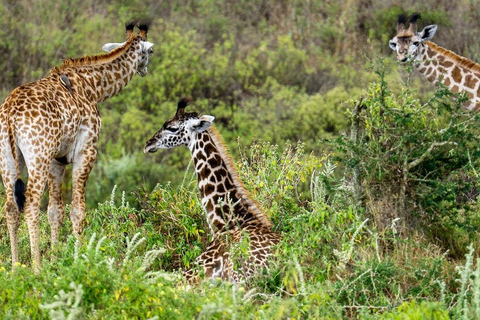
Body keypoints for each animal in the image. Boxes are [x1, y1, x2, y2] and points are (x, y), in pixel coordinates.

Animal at [0, 20, 154, 268]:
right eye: (151, 52)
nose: (144, 70)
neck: (94, 87)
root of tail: (10, 113)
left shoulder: (57, 160)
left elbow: (55, 211)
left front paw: (56, 260)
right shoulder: (86, 151)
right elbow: (77, 210)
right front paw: (79, 258)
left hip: (7, 157)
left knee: (11, 206)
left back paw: (15, 269)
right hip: (37, 155)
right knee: (31, 203)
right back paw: (36, 268)